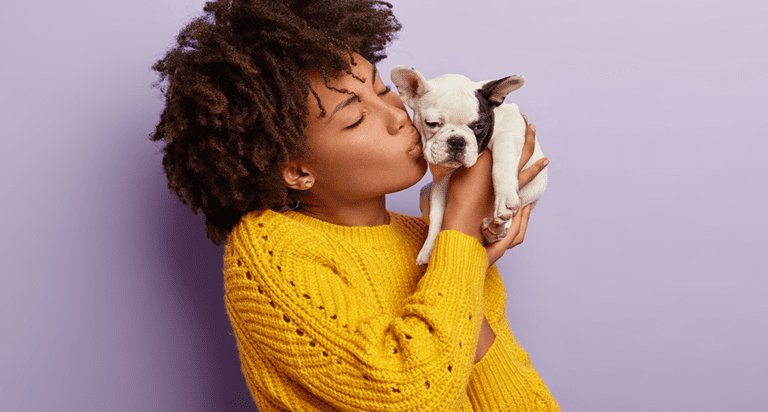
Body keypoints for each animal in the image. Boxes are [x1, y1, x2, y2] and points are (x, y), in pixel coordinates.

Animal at [392, 64, 548, 264]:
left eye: (479, 126)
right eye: (432, 123)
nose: (457, 141)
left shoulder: (509, 129)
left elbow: (502, 163)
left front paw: (505, 199)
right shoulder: (441, 182)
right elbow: (437, 215)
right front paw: (429, 248)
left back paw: (497, 229)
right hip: (424, 192)